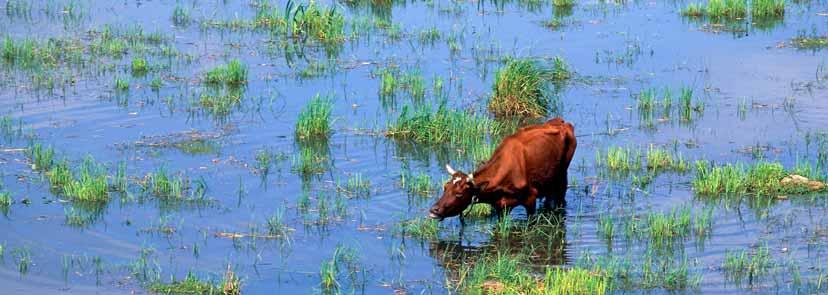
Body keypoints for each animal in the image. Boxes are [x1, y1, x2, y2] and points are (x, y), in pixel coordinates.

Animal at [426, 118, 576, 222]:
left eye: (459, 194)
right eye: (445, 187)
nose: (434, 210)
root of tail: (562, 122)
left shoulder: (531, 199)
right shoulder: (500, 206)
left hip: (562, 175)